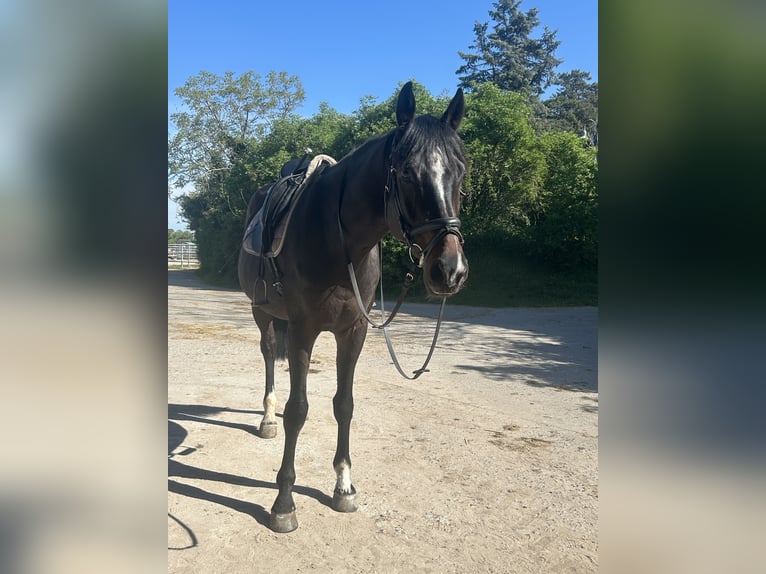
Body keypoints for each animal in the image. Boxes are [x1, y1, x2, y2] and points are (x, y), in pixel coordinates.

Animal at [238, 82, 469, 532]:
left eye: (461, 170)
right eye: (407, 172)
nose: (449, 270)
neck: (336, 241)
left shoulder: (354, 331)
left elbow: (344, 405)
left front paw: (344, 486)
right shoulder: (304, 330)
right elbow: (298, 410)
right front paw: (284, 503)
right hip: (264, 313)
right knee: (270, 355)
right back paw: (267, 419)